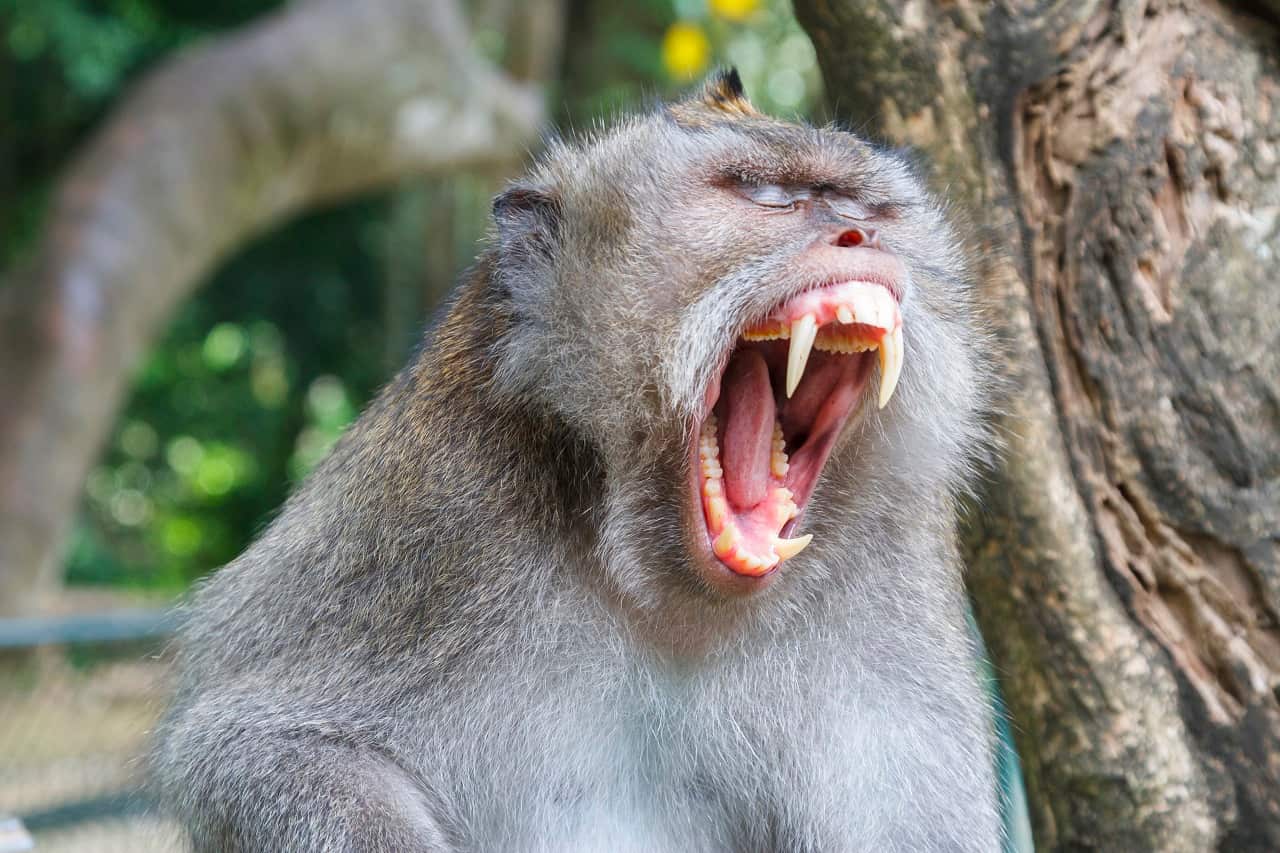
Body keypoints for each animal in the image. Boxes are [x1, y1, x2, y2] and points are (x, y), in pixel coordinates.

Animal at [152, 70, 1001, 852]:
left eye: (866, 209)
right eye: (765, 194)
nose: (859, 239)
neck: (666, 596)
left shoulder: (898, 552)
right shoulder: (420, 518)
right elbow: (252, 740)